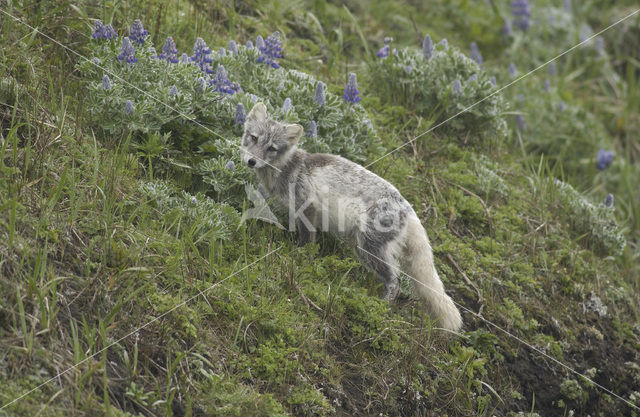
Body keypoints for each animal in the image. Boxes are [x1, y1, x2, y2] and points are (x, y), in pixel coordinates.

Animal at [239, 102, 460, 330]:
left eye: (272, 148)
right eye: (254, 138)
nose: (251, 161)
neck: (287, 168)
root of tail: (409, 210)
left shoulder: (308, 208)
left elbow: (307, 243)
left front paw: (300, 260)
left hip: (368, 248)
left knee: (395, 280)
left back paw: (379, 307)